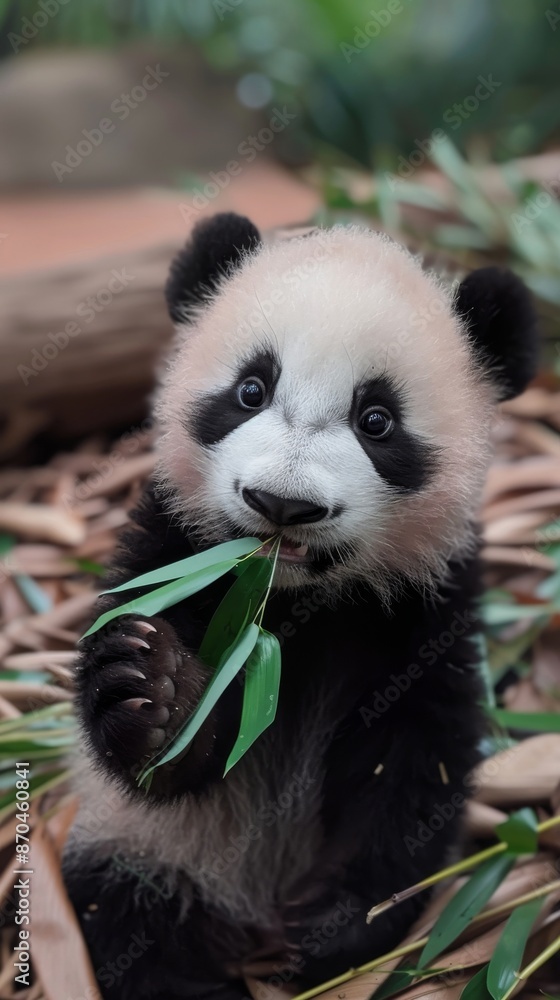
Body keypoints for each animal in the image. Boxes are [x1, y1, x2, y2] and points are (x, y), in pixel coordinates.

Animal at [63, 213, 538, 1000]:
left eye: (376, 420)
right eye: (251, 390)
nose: (282, 503)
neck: (291, 603)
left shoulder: (423, 609)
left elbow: (411, 763)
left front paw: (332, 926)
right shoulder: (172, 551)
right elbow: (160, 760)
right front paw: (150, 688)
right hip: (147, 849)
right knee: (129, 918)